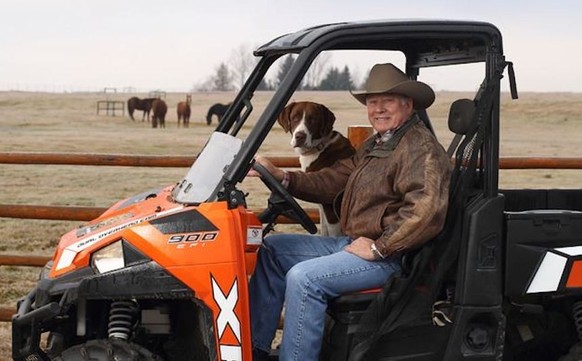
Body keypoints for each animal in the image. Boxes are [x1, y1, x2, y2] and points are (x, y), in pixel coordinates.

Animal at [278, 101, 356, 236]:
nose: (300, 136)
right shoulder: (321, 205)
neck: (319, 147)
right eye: (295, 118)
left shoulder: (330, 209)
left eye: (313, 119)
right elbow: (324, 230)